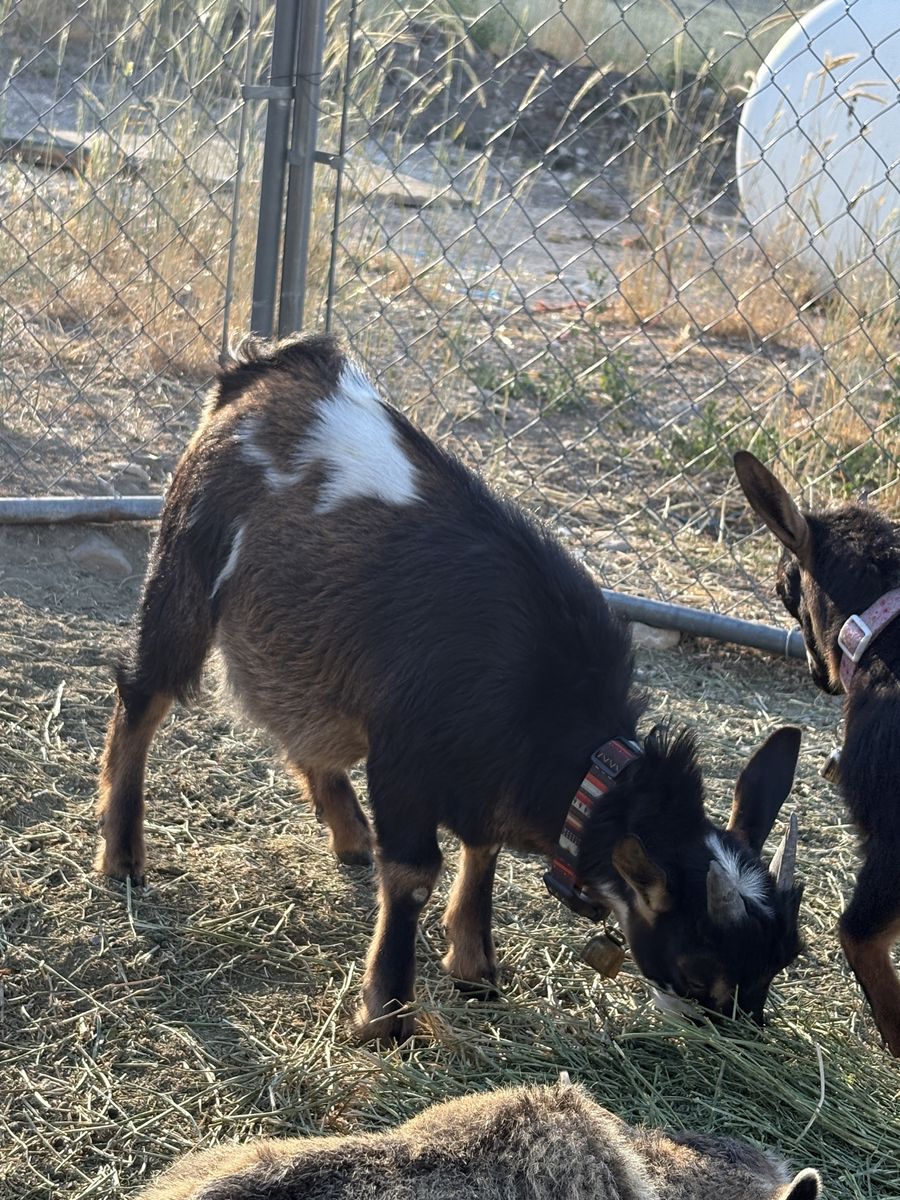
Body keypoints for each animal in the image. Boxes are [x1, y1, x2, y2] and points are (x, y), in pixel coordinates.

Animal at [98, 333, 804, 1042]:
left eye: (782, 961)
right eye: (697, 970)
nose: (739, 1036)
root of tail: (272, 368)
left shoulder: (480, 772)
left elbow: (482, 849)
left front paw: (475, 969)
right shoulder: (405, 758)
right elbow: (415, 874)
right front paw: (388, 1014)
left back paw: (350, 834)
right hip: (185, 566)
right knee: (142, 694)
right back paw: (124, 853)